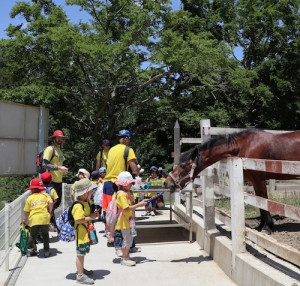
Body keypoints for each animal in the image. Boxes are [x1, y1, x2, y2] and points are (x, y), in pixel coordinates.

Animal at [164, 128, 300, 233]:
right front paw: (262, 226)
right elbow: (260, 202)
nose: (167, 182)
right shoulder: (254, 181)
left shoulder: (259, 179)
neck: (244, 146)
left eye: (183, 165)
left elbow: (263, 201)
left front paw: (267, 227)